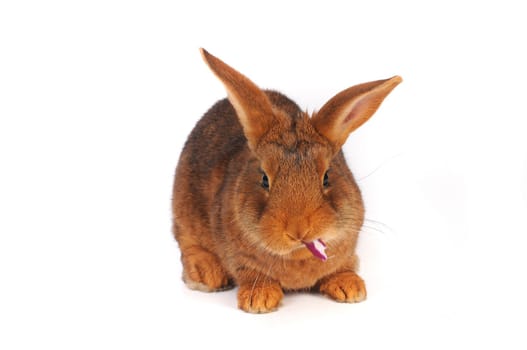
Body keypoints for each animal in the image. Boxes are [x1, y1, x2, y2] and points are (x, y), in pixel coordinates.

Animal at [172, 47, 400, 314]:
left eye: (327, 177)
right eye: (264, 179)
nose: (298, 230)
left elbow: (344, 266)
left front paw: (350, 288)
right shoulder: (238, 257)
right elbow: (251, 273)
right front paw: (259, 299)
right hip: (183, 212)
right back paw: (206, 274)